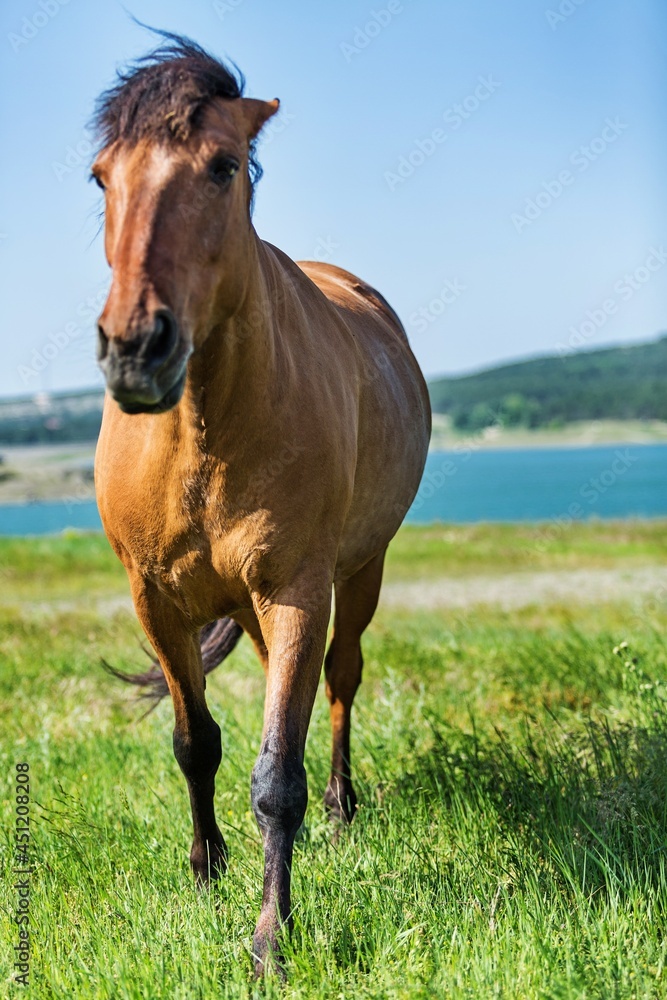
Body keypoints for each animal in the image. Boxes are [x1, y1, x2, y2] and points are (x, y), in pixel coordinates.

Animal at [91, 33, 430, 976]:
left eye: (222, 166)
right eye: (101, 177)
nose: (136, 349)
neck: (205, 434)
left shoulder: (297, 591)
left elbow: (278, 775)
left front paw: (271, 938)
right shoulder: (157, 603)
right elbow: (194, 743)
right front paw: (206, 871)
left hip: (358, 574)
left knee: (342, 680)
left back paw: (343, 810)